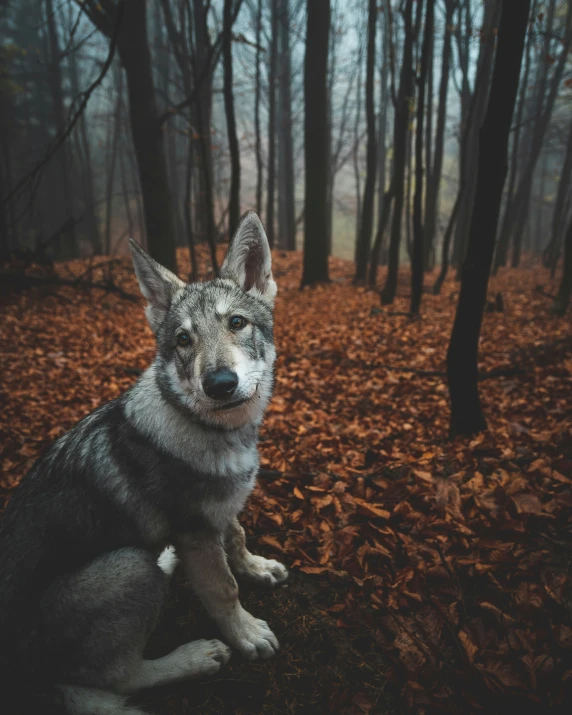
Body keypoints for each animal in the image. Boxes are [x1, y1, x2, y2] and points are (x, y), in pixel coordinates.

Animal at [0, 213, 286, 715]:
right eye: (184, 340)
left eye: (237, 323)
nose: (220, 383)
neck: (216, 431)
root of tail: (22, 679)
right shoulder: (196, 531)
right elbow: (224, 590)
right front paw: (247, 635)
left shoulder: (217, 513)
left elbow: (236, 537)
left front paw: (257, 567)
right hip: (130, 566)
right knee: (120, 679)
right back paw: (196, 656)